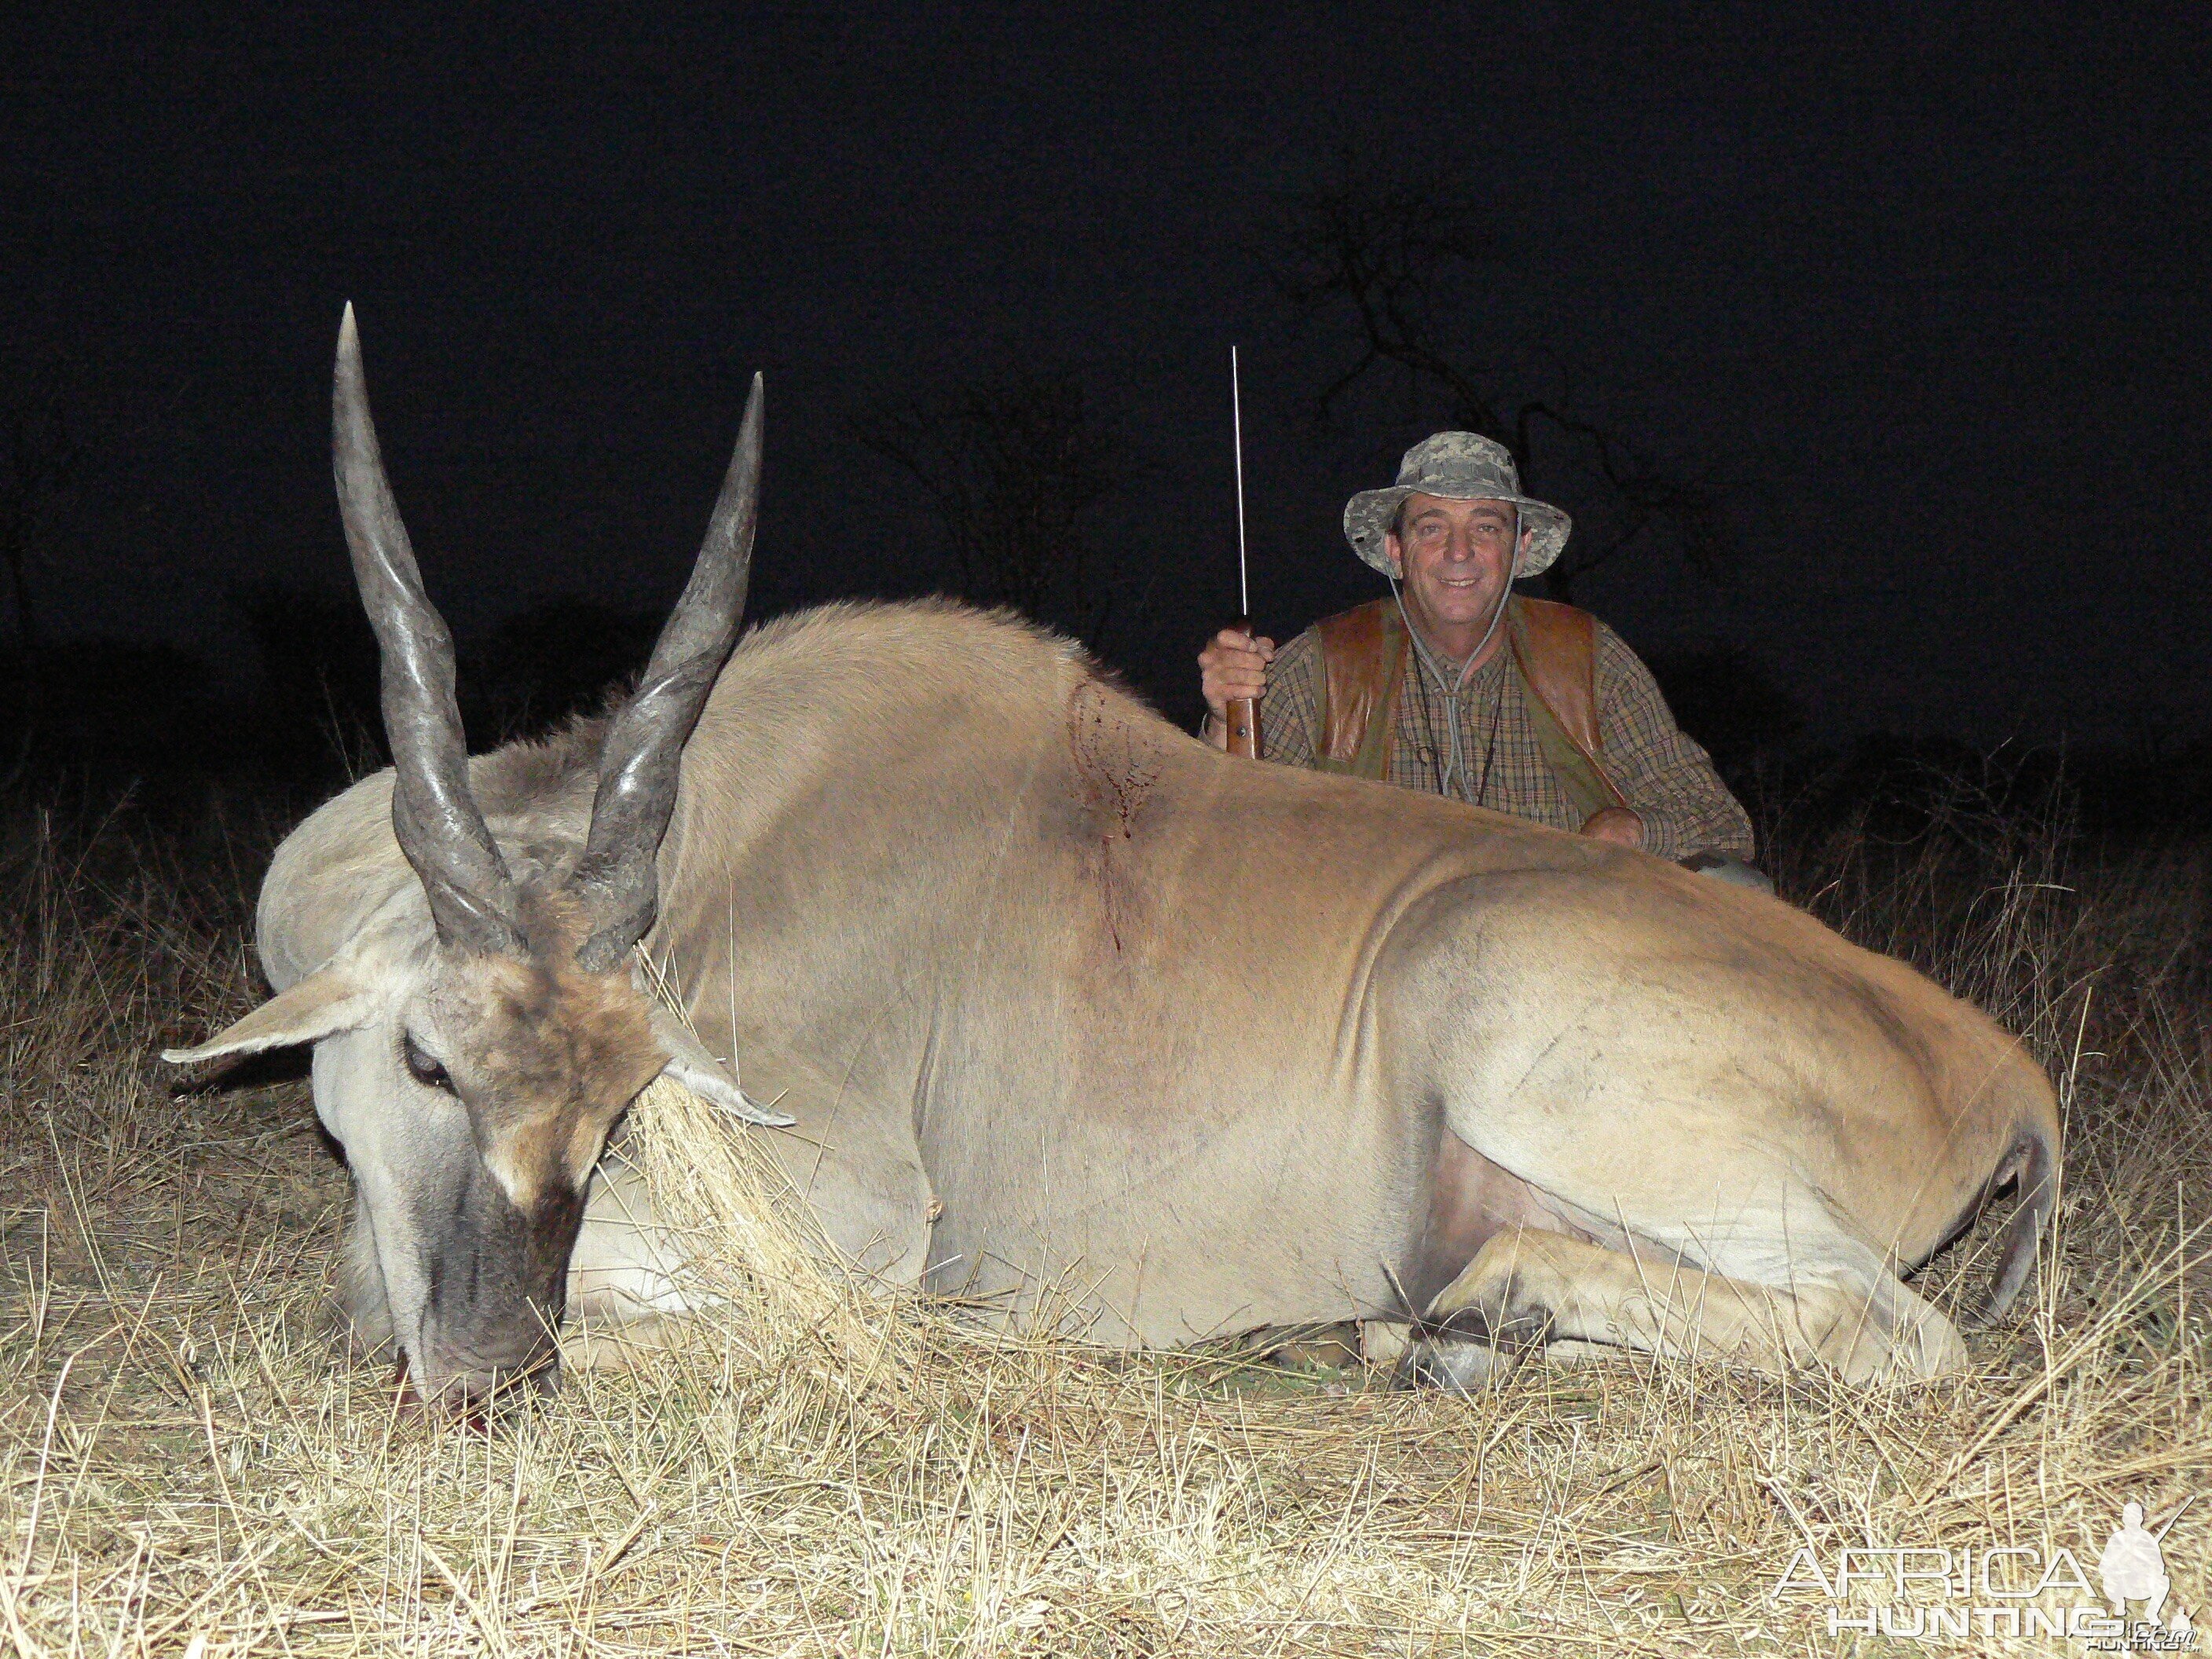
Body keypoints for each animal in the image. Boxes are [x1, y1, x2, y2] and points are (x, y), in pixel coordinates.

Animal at [168, 309, 2053, 1406]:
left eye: (623, 1098)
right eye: (426, 1061)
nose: (494, 1371)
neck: (738, 846)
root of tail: (2000, 1071)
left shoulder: (861, 1214)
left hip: (1550, 1054)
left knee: (1902, 1334)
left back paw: (1485, 1308)